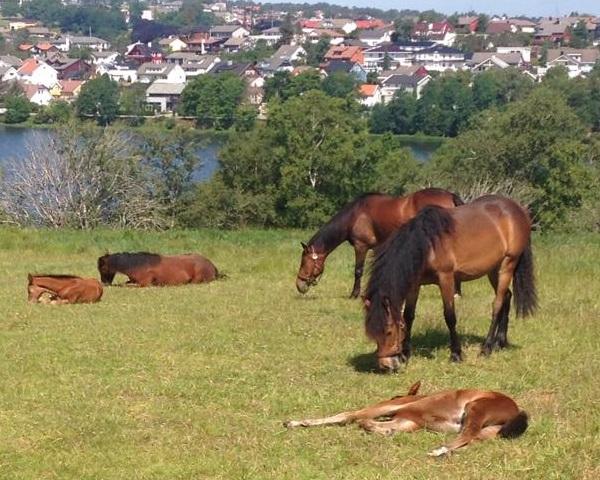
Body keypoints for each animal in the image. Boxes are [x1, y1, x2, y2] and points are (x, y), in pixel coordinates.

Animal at [284, 380, 528, 456]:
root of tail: (516, 412)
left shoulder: (390, 407)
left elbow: (350, 415)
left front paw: (297, 422)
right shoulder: (409, 421)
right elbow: (367, 422)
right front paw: (386, 431)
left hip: (476, 407)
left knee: (468, 433)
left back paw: (438, 450)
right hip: (488, 432)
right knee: (471, 439)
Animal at [296, 189, 464, 298]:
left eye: (304, 262)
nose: (299, 285)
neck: (356, 215)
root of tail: (450, 196)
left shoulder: (361, 246)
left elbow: (358, 271)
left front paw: (354, 294)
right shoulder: (378, 247)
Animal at [366, 194, 540, 372]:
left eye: (388, 331)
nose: (386, 365)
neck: (427, 244)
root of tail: (517, 209)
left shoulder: (446, 279)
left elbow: (449, 316)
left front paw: (456, 354)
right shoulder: (415, 284)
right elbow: (409, 315)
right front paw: (406, 354)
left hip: (508, 264)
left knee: (497, 305)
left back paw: (486, 348)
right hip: (493, 269)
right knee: (507, 296)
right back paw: (500, 342)